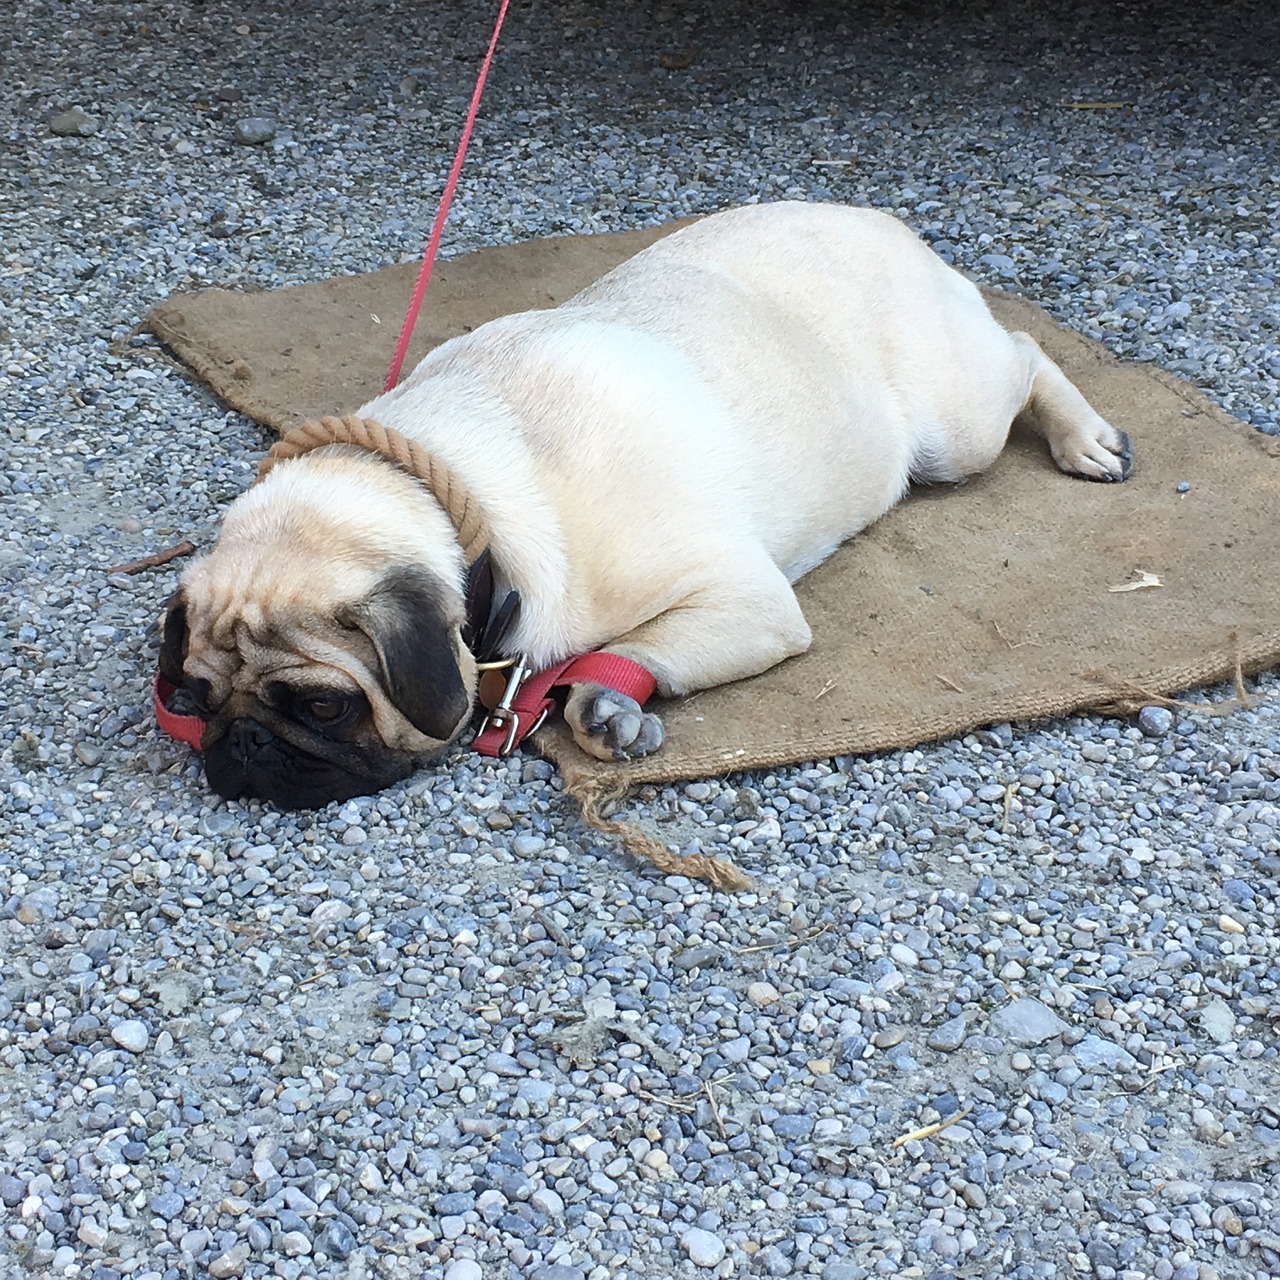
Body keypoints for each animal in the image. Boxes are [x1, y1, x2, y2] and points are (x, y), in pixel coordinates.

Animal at [157, 203, 1131, 803]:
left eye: (324, 706)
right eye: (195, 698)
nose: (243, 744)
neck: (465, 501)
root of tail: (879, 220)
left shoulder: (747, 600)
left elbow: (631, 649)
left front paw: (601, 697)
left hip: (956, 433)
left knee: (1025, 348)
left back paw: (1085, 438)